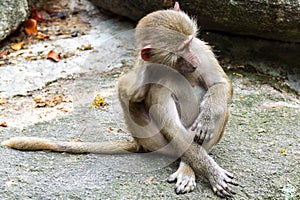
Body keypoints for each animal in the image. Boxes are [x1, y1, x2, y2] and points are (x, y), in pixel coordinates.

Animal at [2, 2, 237, 198]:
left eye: (189, 44)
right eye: (180, 51)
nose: (194, 61)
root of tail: (141, 144)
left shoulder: (201, 48)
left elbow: (220, 84)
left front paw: (207, 121)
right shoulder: (159, 80)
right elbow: (170, 124)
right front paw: (211, 171)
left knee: (220, 109)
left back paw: (189, 164)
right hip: (155, 141)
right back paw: (188, 164)